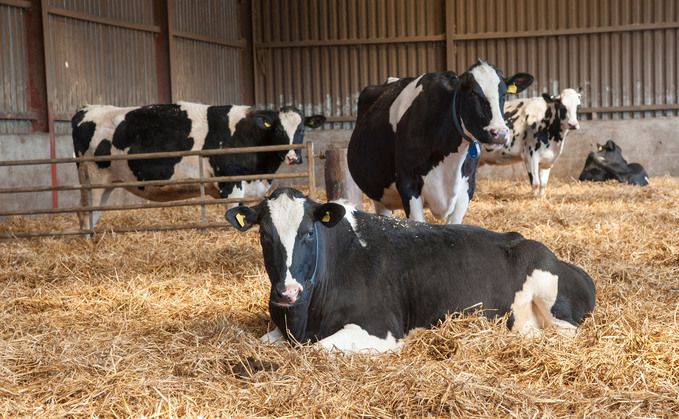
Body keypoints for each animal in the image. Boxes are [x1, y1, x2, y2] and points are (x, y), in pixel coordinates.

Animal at [71, 102, 325, 230]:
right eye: (279, 129)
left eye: (302, 129)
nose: (293, 157)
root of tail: (86, 109)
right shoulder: (231, 183)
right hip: (93, 180)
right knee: (85, 214)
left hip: (104, 185)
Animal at [225, 187, 596, 353]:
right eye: (264, 235)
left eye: (308, 233)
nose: (287, 292)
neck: (302, 320)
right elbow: (260, 340)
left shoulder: (379, 328)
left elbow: (316, 349)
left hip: (551, 300)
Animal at [347, 60, 534, 224]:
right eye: (472, 93)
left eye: (504, 94)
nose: (500, 134)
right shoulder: (408, 184)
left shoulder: (467, 187)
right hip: (378, 193)